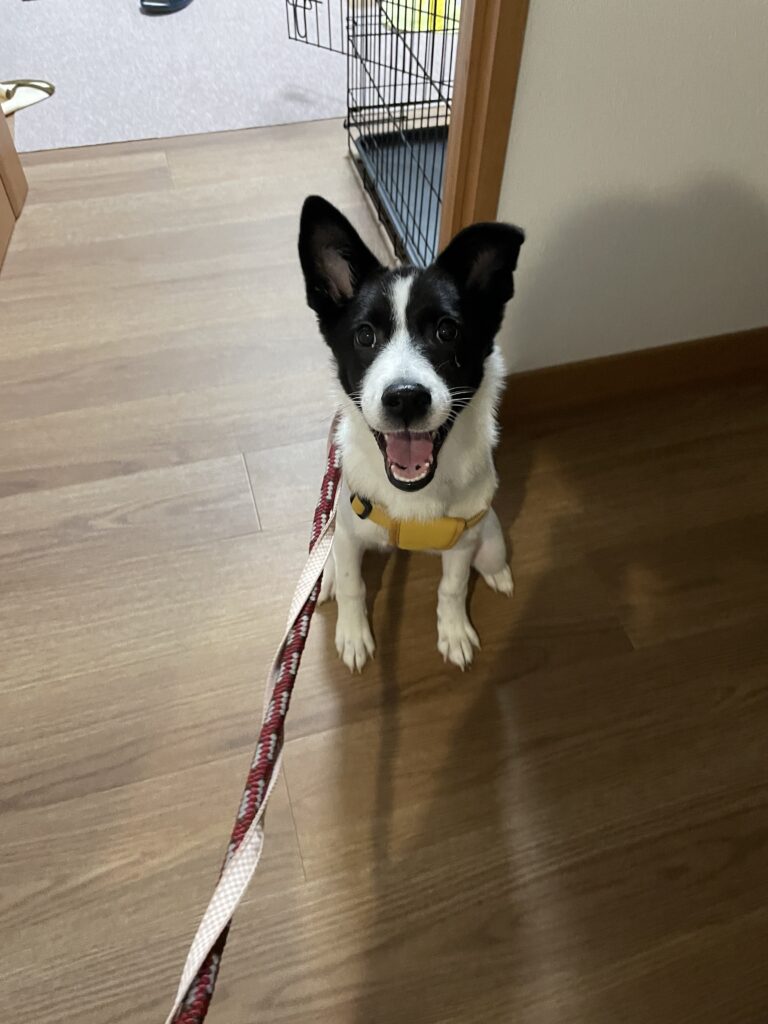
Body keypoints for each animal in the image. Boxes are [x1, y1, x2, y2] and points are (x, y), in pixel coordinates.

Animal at [298, 195, 524, 672]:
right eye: (365, 335)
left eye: (447, 331)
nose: (405, 398)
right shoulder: (349, 531)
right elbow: (353, 584)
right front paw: (353, 634)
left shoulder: (462, 541)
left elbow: (452, 587)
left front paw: (454, 632)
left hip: (489, 533)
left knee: (492, 552)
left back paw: (497, 573)